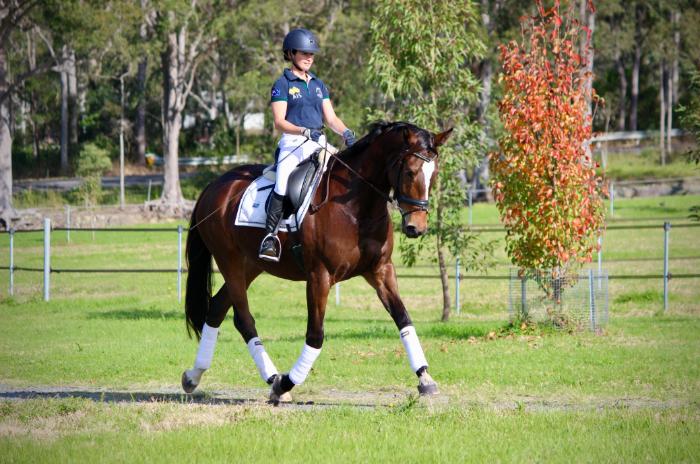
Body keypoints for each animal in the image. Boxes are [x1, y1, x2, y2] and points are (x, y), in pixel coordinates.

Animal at [182, 121, 453, 402]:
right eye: (410, 172)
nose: (416, 227)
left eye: (434, 174)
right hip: (230, 261)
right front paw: (286, 383)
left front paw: (425, 377)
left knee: (217, 308)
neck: (356, 208)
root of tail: (214, 185)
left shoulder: (380, 271)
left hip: (251, 265)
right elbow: (316, 335)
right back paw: (272, 380)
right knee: (243, 319)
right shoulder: (319, 276)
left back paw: (195, 375)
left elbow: (403, 318)